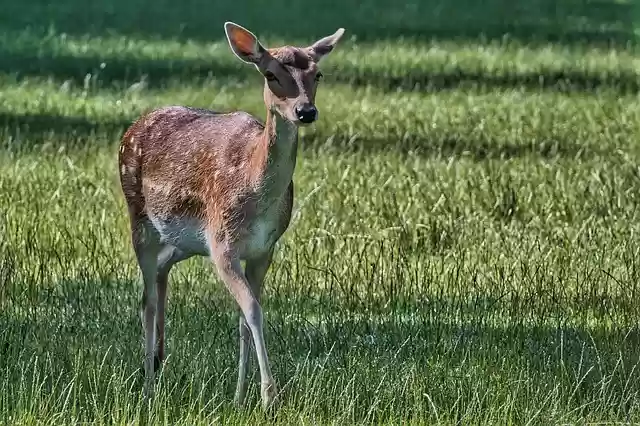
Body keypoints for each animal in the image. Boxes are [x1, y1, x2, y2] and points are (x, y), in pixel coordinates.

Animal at [115, 21, 344, 412]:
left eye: (318, 74)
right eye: (270, 75)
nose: (305, 111)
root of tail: (131, 128)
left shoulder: (264, 249)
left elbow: (243, 318)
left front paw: (239, 396)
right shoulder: (223, 245)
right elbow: (252, 310)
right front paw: (269, 396)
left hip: (186, 240)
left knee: (160, 273)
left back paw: (159, 361)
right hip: (140, 218)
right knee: (146, 300)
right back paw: (148, 387)